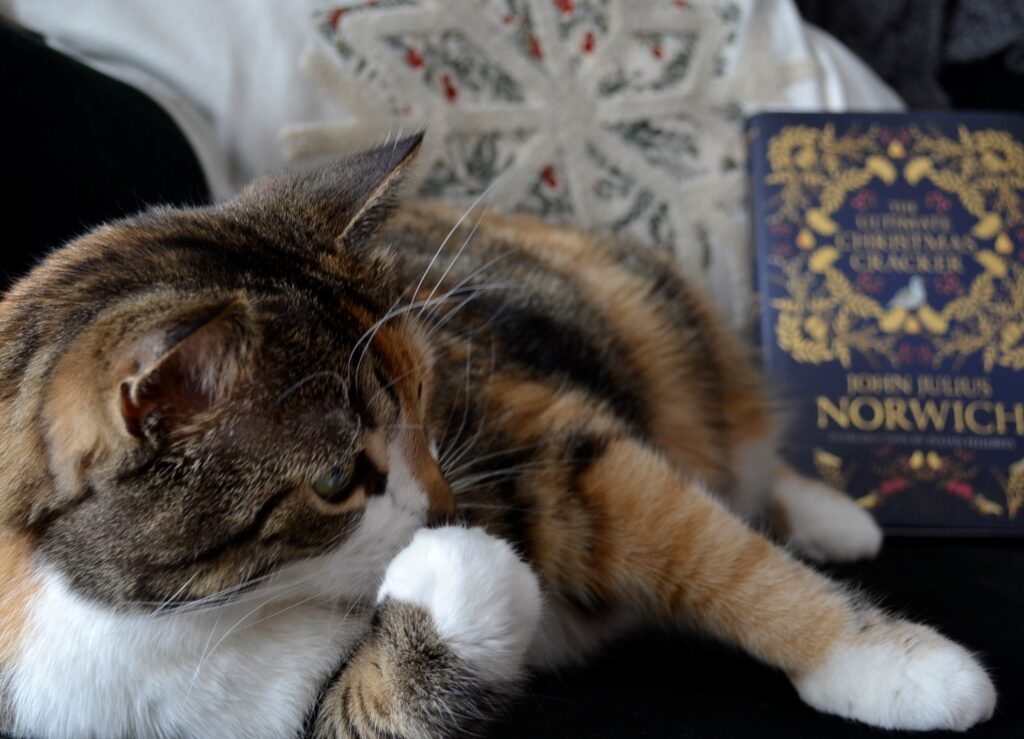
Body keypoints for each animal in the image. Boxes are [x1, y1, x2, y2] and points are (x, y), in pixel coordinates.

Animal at [0, 134, 995, 736]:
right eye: (337, 481)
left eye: (430, 394)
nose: (448, 505)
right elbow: (381, 705)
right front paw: (464, 576)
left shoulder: (541, 434)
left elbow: (711, 548)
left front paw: (895, 665)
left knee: (742, 470)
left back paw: (833, 517)